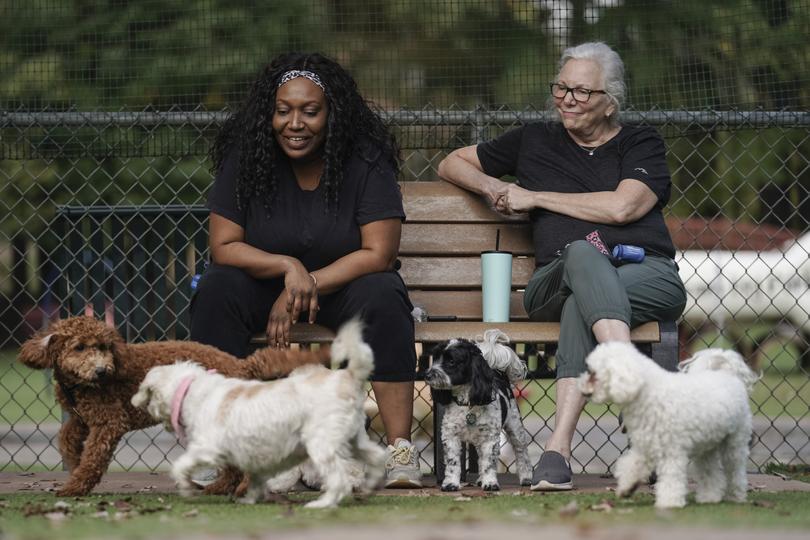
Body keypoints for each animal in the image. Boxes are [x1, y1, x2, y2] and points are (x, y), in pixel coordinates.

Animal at [132, 318, 386, 508]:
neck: (192, 389)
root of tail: (348, 377)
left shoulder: (207, 447)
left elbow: (181, 465)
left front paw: (187, 488)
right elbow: (254, 479)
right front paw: (250, 498)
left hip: (321, 445)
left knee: (339, 478)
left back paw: (322, 503)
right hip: (354, 439)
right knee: (375, 457)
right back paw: (369, 486)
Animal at [576, 344, 756, 508]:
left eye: (593, 373)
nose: (582, 390)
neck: (648, 393)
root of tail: (727, 373)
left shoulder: (672, 451)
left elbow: (671, 478)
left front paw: (669, 502)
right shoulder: (645, 446)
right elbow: (633, 465)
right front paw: (626, 487)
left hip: (734, 442)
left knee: (735, 471)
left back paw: (735, 496)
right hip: (707, 447)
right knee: (709, 471)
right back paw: (709, 497)